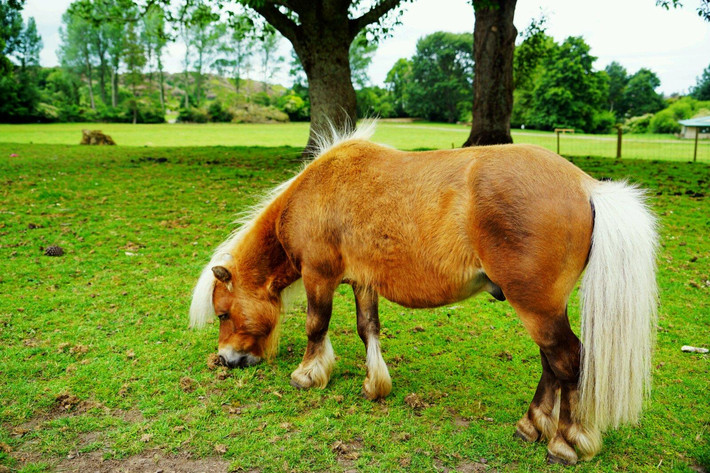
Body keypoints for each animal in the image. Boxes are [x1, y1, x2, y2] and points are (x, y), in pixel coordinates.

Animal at [191, 122, 660, 464]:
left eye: (223, 314)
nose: (226, 360)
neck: (317, 190)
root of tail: (586, 186)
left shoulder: (319, 276)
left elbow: (315, 325)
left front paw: (307, 374)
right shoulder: (364, 281)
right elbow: (367, 328)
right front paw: (375, 384)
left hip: (536, 305)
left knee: (567, 361)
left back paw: (562, 442)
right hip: (543, 307)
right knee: (552, 363)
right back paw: (531, 425)